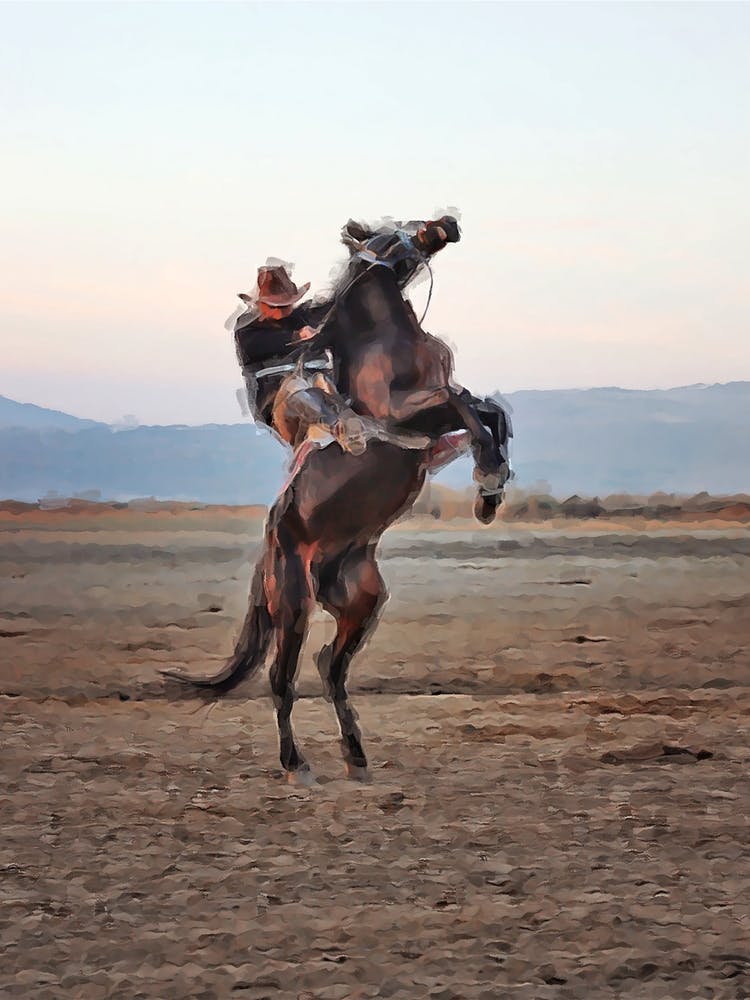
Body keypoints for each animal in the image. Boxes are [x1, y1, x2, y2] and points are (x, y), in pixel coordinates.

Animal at [162, 259, 511, 782]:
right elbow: (469, 409)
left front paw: (492, 488)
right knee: (282, 677)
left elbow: (488, 411)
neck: (379, 337)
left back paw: (357, 755)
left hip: (361, 599)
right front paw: (488, 481)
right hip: (292, 605)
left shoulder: (434, 409)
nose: (450, 234)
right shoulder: (413, 409)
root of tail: (270, 547)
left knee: (330, 665)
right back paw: (296, 764)